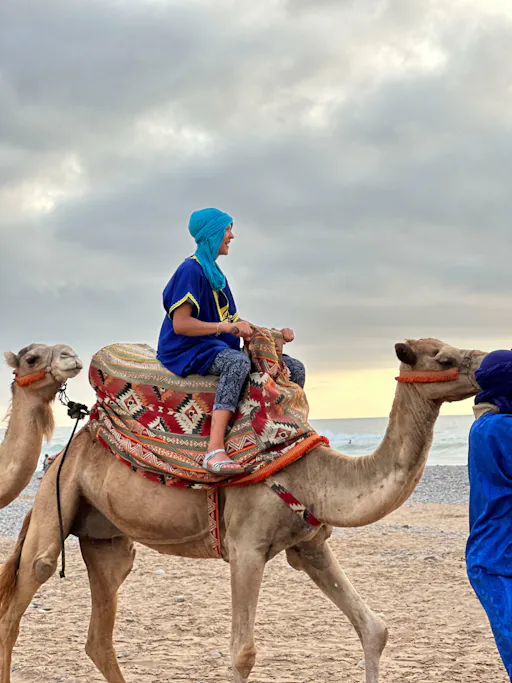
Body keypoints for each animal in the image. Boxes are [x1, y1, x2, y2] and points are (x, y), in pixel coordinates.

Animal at [0, 337, 485, 683]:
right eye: (442, 357)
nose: (485, 362)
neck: (310, 472)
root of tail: (69, 445)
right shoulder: (246, 548)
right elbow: (242, 654)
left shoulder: (309, 545)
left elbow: (374, 628)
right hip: (57, 496)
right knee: (25, 590)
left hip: (105, 537)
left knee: (100, 633)